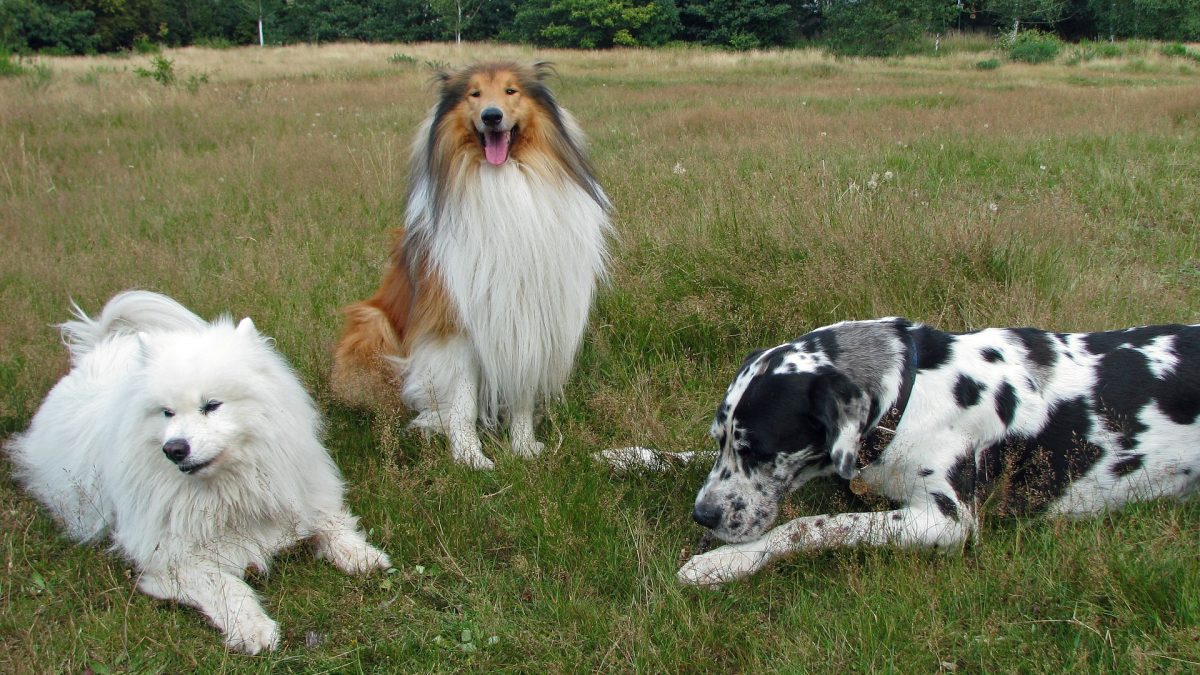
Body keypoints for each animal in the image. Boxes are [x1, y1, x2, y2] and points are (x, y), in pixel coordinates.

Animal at [10, 290, 393, 653]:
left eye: (211, 405)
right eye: (166, 412)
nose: (174, 448)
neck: (231, 489)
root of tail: (100, 349)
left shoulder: (302, 496)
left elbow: (331, 525)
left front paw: (363, 555)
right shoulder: (175, 560)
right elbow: (228, 586)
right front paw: (253, 629)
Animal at [681, 317, 1200, 583]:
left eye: (758, 450)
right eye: (721, 439)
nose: (702, 515)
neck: (910, 394)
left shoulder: (946, 521)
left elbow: (812, 525)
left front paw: (724, 562)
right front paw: (658, 458)